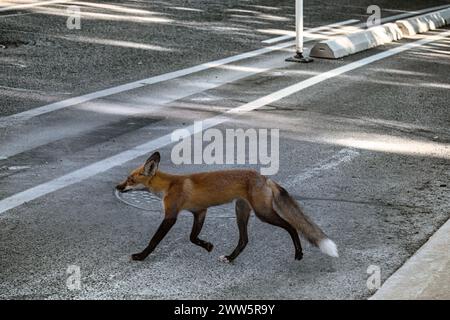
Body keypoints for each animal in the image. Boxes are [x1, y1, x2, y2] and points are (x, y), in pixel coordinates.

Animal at [116, 151, 338, 262]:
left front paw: (141, 256)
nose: (117, 187)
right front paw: (207, 246)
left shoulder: (171, 215)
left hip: (263, 213)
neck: (169, 185)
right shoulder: (200, 211)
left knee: (291, 226)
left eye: (129, 179)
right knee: (244, 240)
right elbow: (192, 237)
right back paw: (231, 257)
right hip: (241, 212)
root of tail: (264, 178)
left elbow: (154, 241)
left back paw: (299, 253)